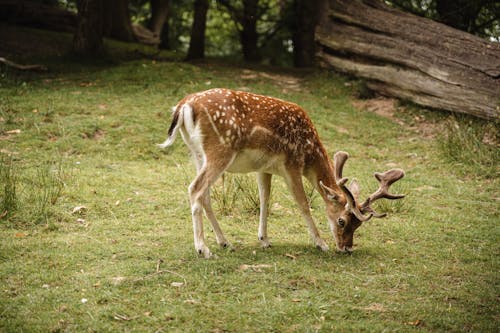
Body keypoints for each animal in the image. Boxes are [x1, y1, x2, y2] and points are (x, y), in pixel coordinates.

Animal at [159, 87, 406, 256]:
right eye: (342, 221)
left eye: (359, 224)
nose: (346, 247)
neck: (310, 153)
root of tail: (183, 106)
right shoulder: (292, 164)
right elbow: (303, 203)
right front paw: (321, 243)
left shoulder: (264, 168)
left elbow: (264, 199)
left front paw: (264, 239)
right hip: (220, 150)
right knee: (195, 188)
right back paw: (203, 249)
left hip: (197, 154)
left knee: (205, 195)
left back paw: (224, 242)